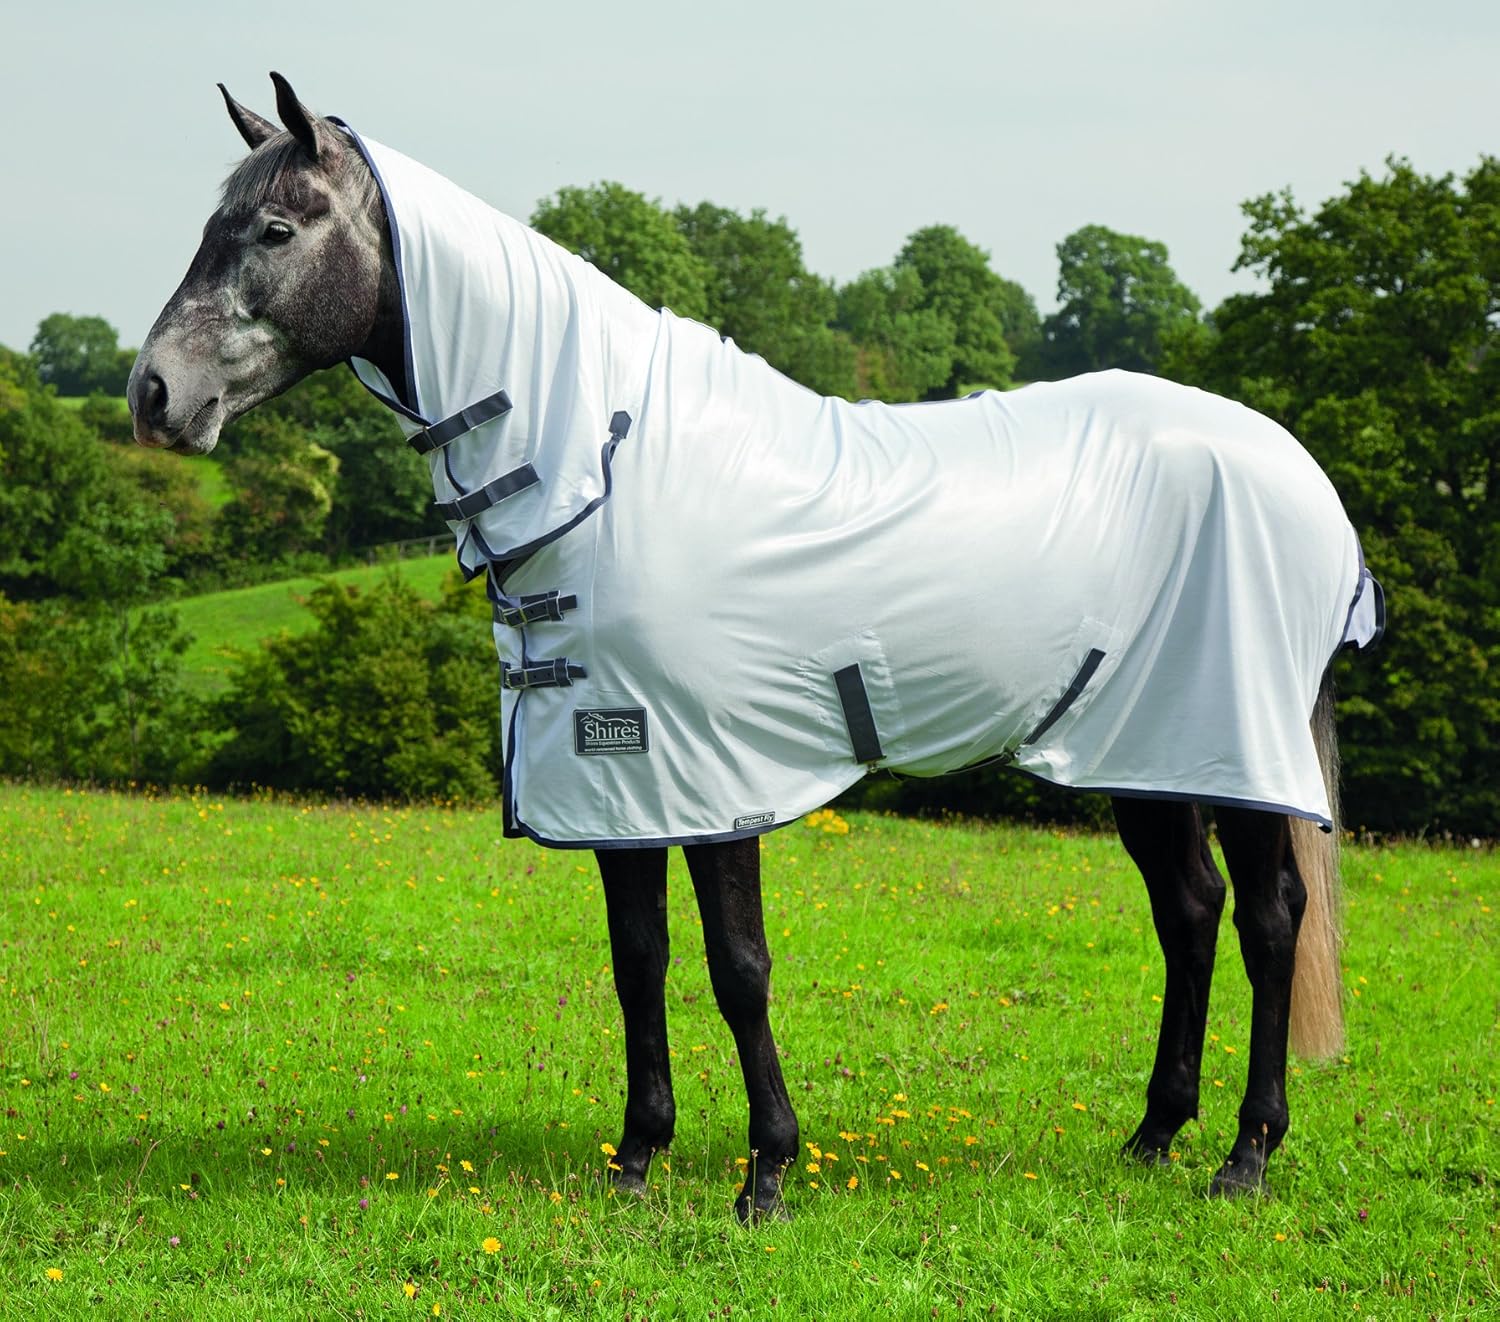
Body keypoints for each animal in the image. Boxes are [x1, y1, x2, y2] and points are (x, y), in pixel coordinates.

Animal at [129, 73, 1383, 1222]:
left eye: (274, 230)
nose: (153, 394)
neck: (608, 465)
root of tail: (1293, 466)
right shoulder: (617, 777)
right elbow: (638, 960)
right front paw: (638, 1157)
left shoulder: (712, 775)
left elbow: (738, 968)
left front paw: (767, 1172)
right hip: (1147, 751)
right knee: (1191, 910)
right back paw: (1153, 1134)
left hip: (1234, 749)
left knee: (1270, 918)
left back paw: (1245, 1154)